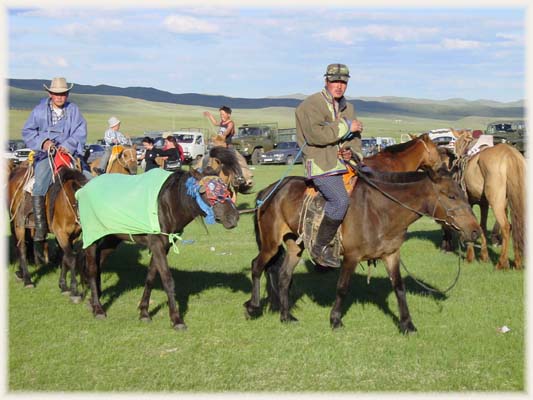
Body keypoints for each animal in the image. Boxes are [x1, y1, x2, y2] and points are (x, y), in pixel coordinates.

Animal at [8, 165, 88, 296]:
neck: (67, 202)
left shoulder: (73, 236)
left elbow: (64, 258)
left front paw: (63, 285)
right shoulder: (61, 234)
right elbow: (71, 259)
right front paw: (74, 289)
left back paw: (21, 273)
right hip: (19, 225)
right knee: (22, 248)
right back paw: (27, 280)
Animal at [82, 167, 240, 330]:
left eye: (227, 189)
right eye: (206, 192)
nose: (233, 217)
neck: (166, 205)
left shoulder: (163, 247)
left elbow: (151, 278)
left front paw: (144, 312)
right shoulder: (157, 245)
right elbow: (167, 280)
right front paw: (176, 319)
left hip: (112, 238)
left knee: (99, 261)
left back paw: (94, 301)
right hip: (91, 238)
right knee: (92, 269)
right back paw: (98, 309)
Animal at [243, 165, 480, 332]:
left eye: (463, 194)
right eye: (451, 196)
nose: (475, 231)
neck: (380, 210)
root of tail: (268, 191)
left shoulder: (391, 255)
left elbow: (399, 288)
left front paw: (407, 324)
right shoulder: (351, 256)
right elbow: (342, 287)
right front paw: (335, 320)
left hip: (295, 245)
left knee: (284, 276)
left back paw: (286, 316)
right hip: (271, 244)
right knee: (256, 266)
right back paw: (253, 307)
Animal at [446, 130, 524, 270]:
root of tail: (509, 155)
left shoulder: (468, 202)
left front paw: (470, 257)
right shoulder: (484, 204)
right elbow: (482, 225)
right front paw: (484, 256)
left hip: (496, 202)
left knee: (506, 227)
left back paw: (501, 263)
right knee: (516, 226)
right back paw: (517, 263)